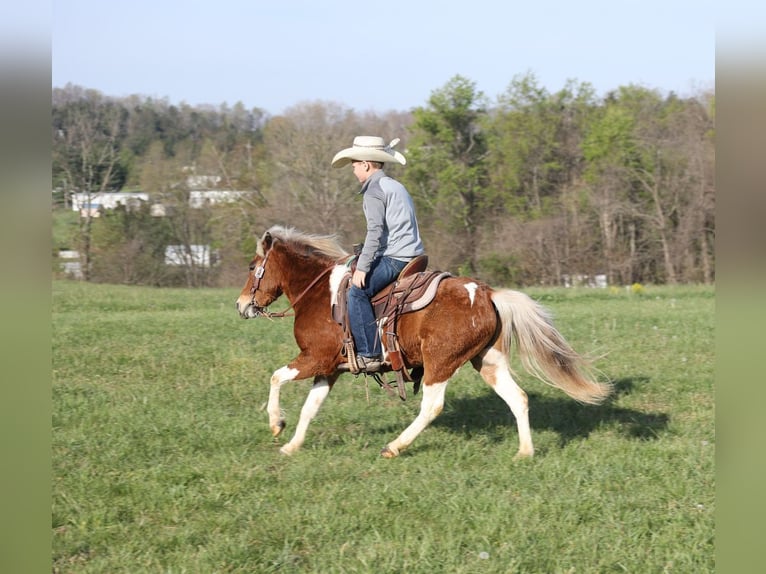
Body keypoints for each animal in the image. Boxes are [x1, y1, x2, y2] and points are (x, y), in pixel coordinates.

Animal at [235, 225, 611, 458]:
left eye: (253, 266)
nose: (241, 305)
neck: (319, 293)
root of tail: (487, 293)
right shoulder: (330, 369)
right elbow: (310, 408)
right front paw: (292, 445)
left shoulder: (315, 358)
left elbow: (275, 377)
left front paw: (276, 424)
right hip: (488, 361)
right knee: (517, 398)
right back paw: (525, 451)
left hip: (439, 363)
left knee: (432, 406)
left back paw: (394, 446)